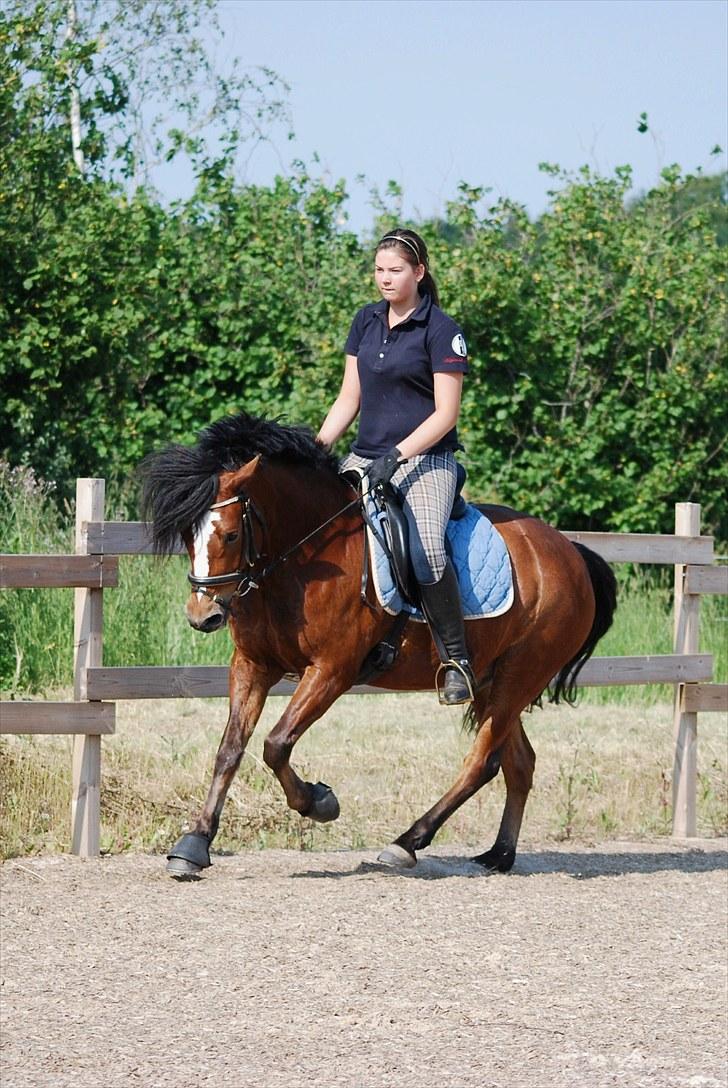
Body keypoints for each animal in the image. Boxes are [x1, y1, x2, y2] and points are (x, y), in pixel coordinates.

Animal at [139, 411, 618, 879]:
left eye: (231, 535)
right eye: (188, 535)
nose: (203, 616)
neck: (304, 559)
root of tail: (569, 551)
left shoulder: (331, 670)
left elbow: (276, 744)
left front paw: (319, 802)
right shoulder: (252, 664)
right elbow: (230, 750)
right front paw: (194, 844)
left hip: (519, 676)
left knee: (482, 761)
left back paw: (406, 843)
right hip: (493, 680)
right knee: (518, 763)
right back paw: (499, 854)